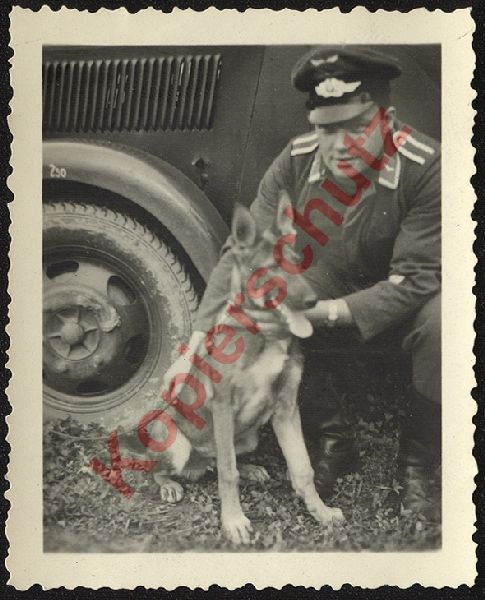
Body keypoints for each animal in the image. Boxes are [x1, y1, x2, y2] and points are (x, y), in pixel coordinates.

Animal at [152, 193, 344, 544]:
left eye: (297, 261)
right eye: (272, 268)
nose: (312, 301)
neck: (264, 336)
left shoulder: (286, 408)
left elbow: (302, 468)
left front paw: (321, 512)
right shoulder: (223, 405)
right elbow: (228, 473)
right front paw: (233, 521)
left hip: (250, 436)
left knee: (219, 459)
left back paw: (251, 469)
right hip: (173, 439)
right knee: (168, 468)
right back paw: (170, 485)